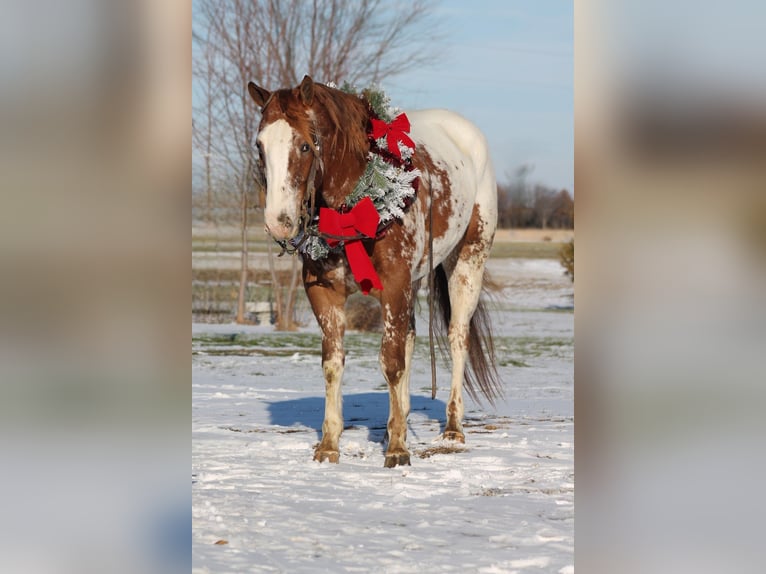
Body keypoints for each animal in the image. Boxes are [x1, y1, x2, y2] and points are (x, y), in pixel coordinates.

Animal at [248, 75, 502, 467]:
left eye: (304, 145)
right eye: (260, 146)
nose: (280, 222)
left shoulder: (395, 284)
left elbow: (392, 362)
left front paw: (398, 449)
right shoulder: (325, 293)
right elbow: (334, 363)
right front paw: (329, 444)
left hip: (467, 263)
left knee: (457, 338)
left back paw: (453, 427)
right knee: (410, 338)